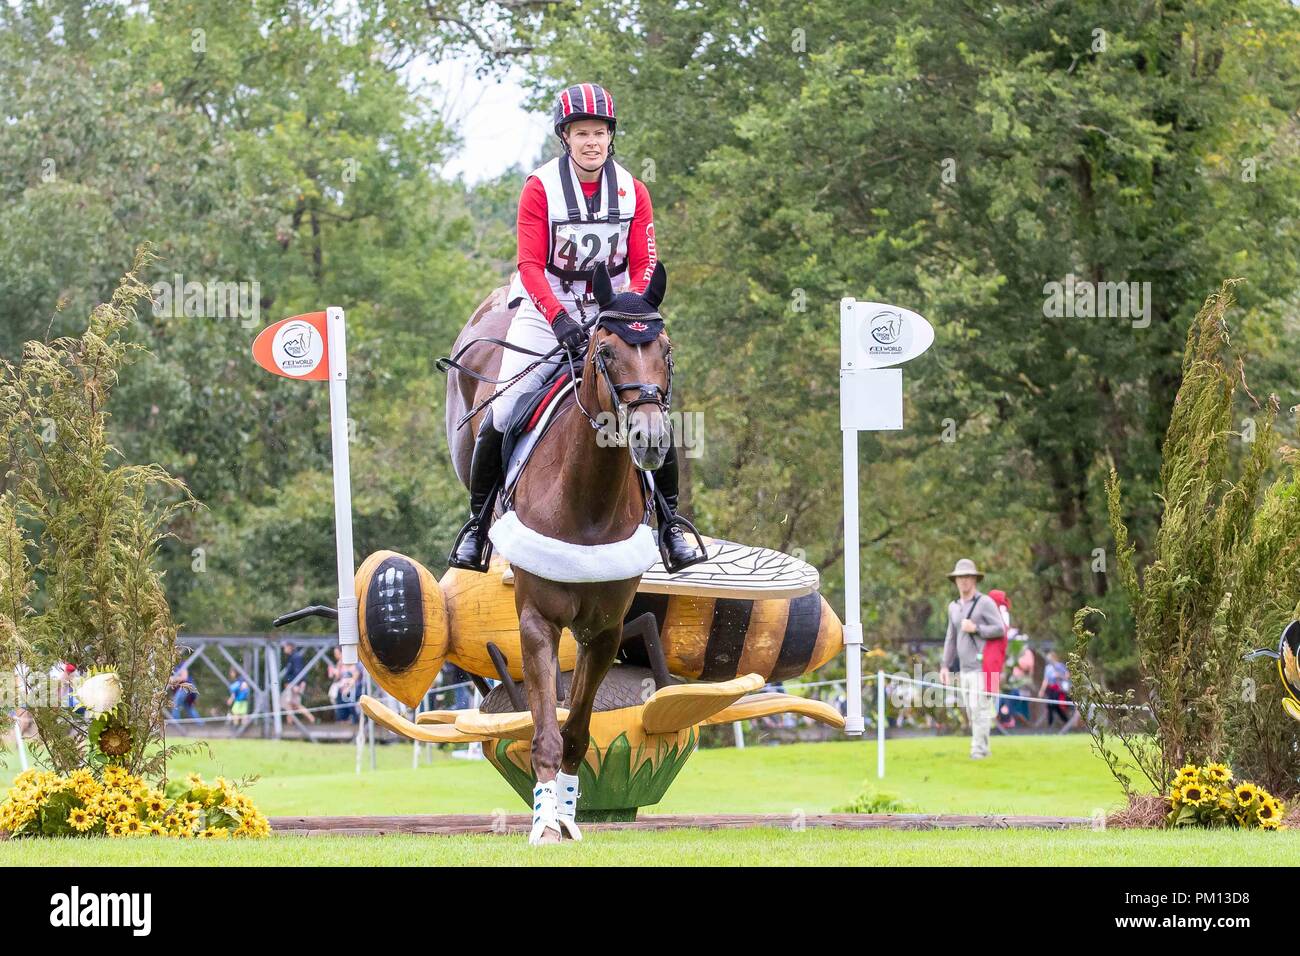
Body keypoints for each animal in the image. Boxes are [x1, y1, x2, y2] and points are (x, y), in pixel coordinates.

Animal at [444, 261, 676, 842]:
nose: (650, 439)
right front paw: (546, 823)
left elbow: (578, 731)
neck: (587, 500)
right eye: (605, 352)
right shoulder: (537, 622)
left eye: (665, 350)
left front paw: (569, 816)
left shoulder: (605, 630)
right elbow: (545, 730)